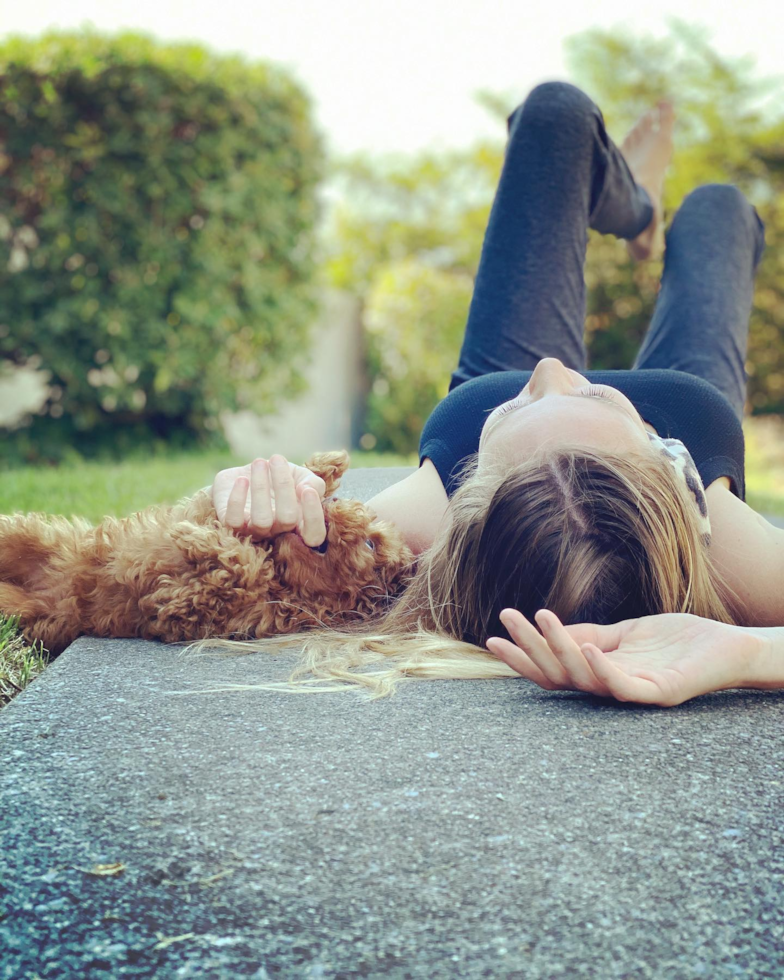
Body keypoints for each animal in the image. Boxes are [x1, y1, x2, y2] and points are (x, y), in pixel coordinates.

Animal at [0, 454, 416, 656]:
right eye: (340, 503)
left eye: (370, 544)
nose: (330, 508)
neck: (285, 577)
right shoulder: (202, 512)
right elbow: (209, 513)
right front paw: (325, 467)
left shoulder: (194, 606)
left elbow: (240, 570)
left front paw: (198, 540)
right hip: (32, 537)